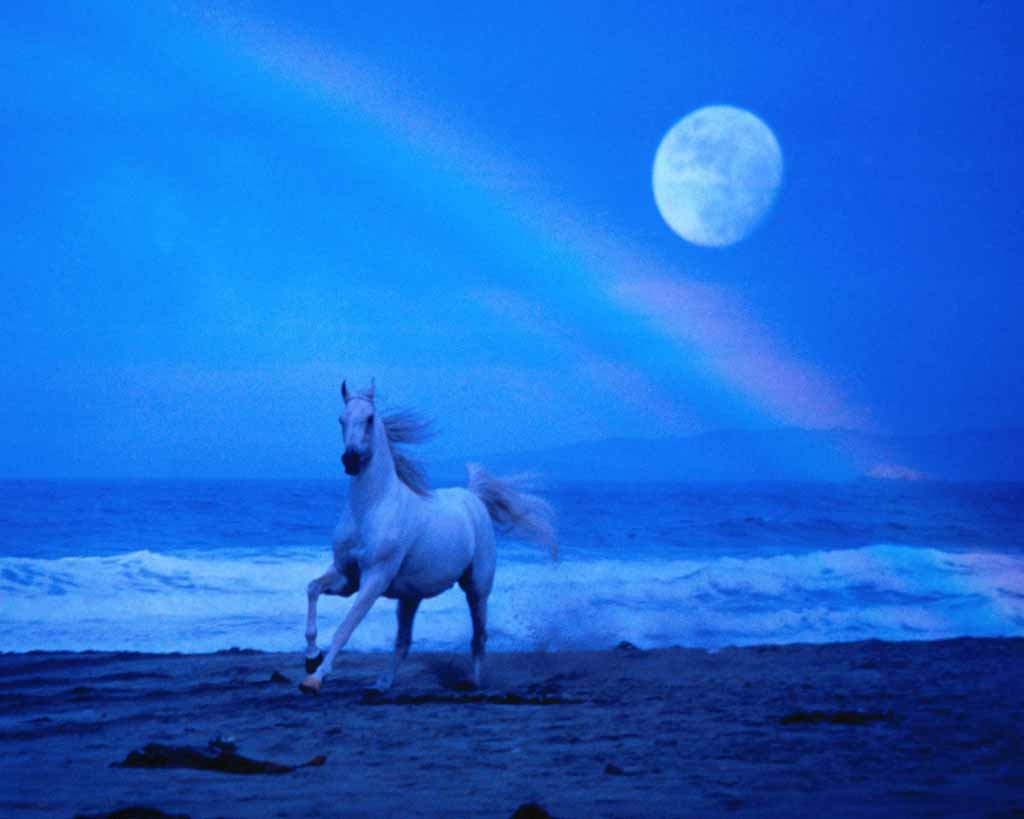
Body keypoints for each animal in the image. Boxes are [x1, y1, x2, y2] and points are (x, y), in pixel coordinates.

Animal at [300, 379, 558, 694]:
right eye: (341, 419)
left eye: (370, 418)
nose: (350, 460)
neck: (372, 507)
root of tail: (473, 497)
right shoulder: (346, 576)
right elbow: (312, 589)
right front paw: (311, 657)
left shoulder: (375, 578)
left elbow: (345, 628)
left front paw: (315, 678)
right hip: (410, 597)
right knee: (403, 642)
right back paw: (381, 684)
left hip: (477, 588)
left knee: (479, 636)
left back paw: (472, 681)